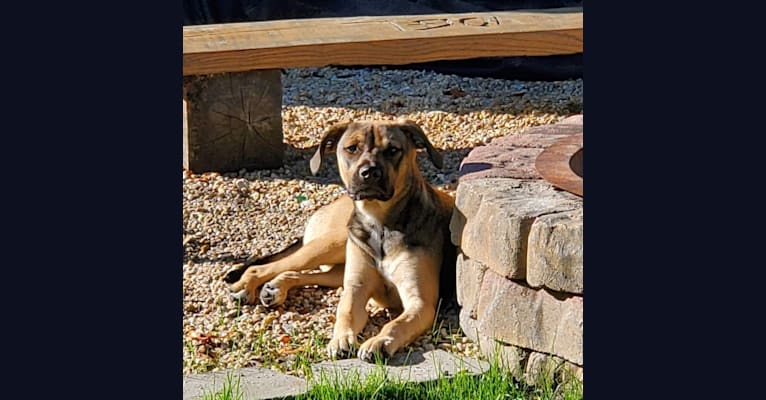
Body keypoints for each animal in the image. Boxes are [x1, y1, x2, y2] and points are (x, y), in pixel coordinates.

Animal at [225, 119, 460, 362]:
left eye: (393, 150)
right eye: (352, 148)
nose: (369, 173)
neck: (381, 224)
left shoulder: (420, 303)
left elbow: (396, 324)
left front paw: (379, 341)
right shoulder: (356, 289)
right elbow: (345, 311)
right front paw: (340, 339)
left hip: (337, 264)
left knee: (302, 273)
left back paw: (276, 287)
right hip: (330, 246)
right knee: (269, 267)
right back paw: (246, 285)